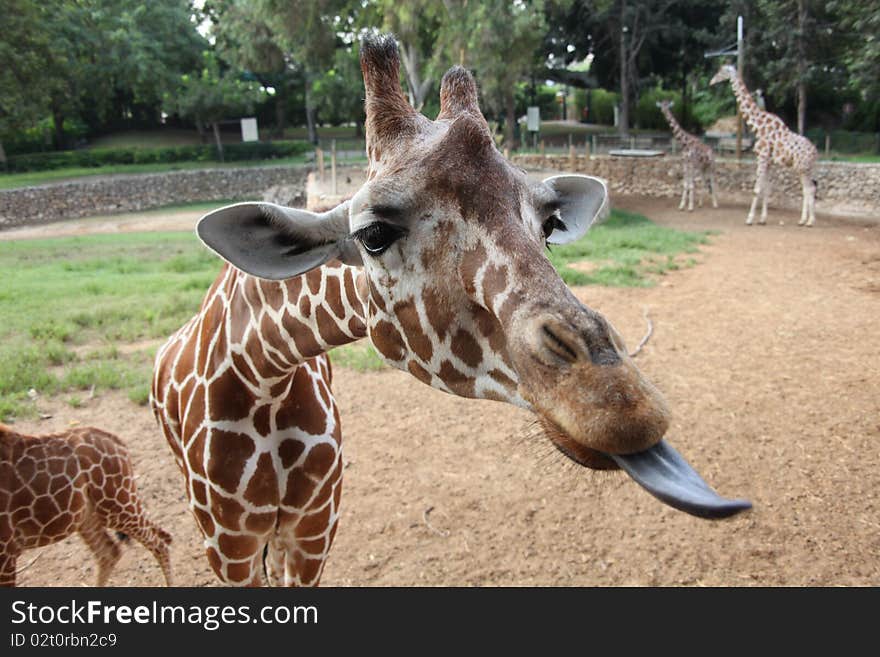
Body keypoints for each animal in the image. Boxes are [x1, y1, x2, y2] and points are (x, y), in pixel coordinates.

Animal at [0, 422, 172, 588]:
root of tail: (118, 443)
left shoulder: (7, 553)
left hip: (115, 505)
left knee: (159, 543)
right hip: (91, 514)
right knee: (112, 551)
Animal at [151, 33, 748, 588]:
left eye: (551, 223)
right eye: (371, 234)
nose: (622, 406)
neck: (262, 373)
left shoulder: (315, 527)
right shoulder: (228, 545)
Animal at [708, 62, 820, 226]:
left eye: (721, 71)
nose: (711, 81)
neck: (758, 126)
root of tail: (815, 152)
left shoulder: (761, 157)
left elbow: (757, 189)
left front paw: (749, 218)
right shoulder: (768, 162)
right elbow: (766, 190)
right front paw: (762, 219)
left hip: (804, 168)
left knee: (810, 189)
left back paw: (810, 221)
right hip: (804, 168)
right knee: (808, 189)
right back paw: (803, 220)